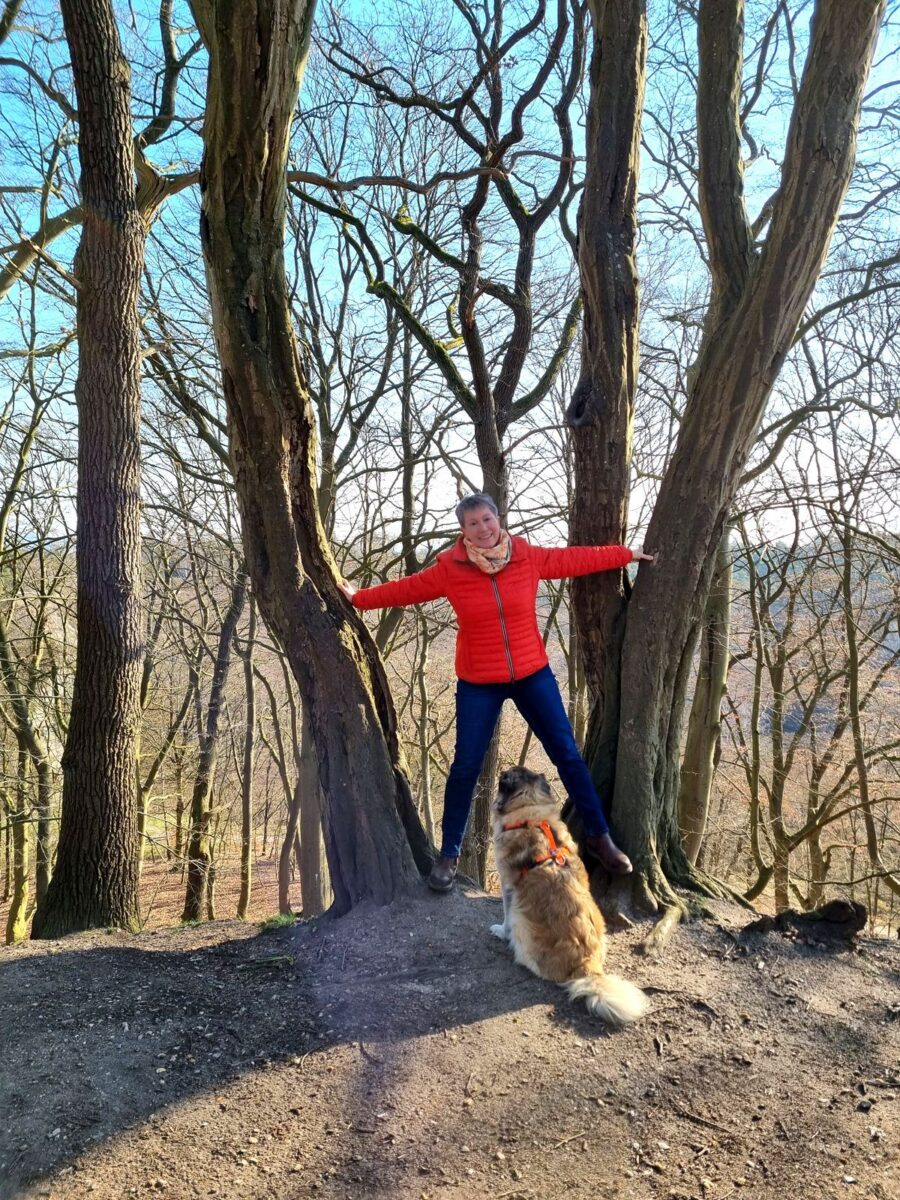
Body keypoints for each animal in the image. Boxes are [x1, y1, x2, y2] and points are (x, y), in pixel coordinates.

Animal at [489, 763, 652, 1027]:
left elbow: (504, 916)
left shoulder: (507, 886)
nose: (504, 771)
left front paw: (500, 931)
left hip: (520, 917)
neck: (529, 808)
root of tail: (588, 966)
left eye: (509, 775)